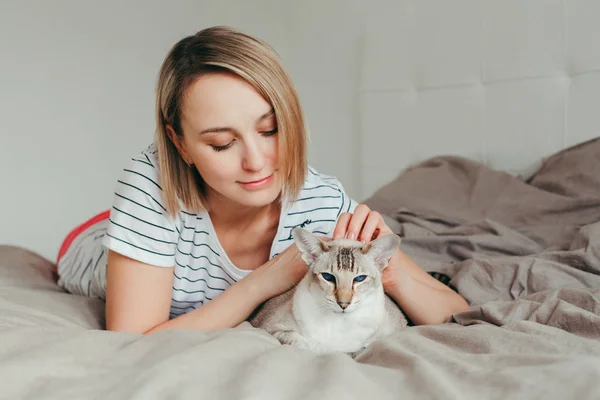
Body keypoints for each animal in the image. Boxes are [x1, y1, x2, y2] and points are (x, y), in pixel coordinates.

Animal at [248, 227, 408, 354]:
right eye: (328, 277)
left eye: (360, 278)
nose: (343, 304)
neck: (340, 325)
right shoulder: (269, 328)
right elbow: (303, 342)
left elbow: (363, 346)